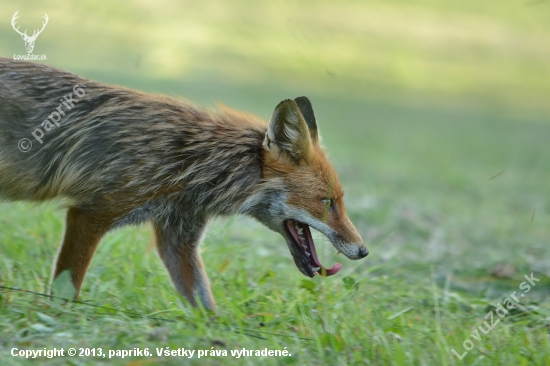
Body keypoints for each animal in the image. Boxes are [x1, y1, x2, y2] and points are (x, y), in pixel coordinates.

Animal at [1, 58, 370, 310]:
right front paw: (58, 320)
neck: (194, 164)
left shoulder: (178, 240)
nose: (364, 250)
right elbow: (67, 289)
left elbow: (206, 308)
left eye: (340, 200)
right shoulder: (92, 213)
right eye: (327, 202)